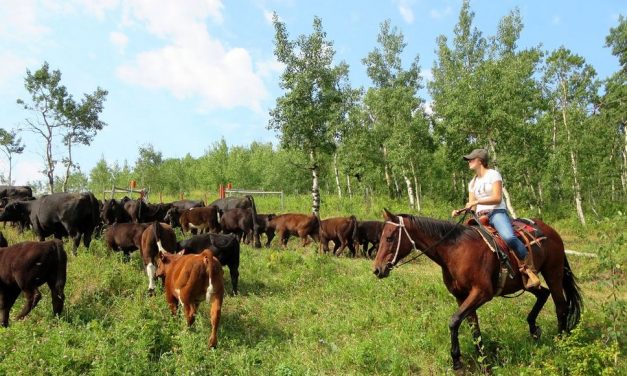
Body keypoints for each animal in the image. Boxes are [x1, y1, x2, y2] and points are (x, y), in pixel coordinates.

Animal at [372, 209, 584, 370]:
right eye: (380, 237)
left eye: (390, 238)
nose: (377, 269)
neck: (455, 251)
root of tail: (552, 231)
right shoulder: (461, 297)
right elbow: (472, 326)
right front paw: (483, 362)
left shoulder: (482, 293)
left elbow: (454, 321)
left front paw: (457, 362)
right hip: (524, 283)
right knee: (543, 294)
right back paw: (533, 329)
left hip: (553, 273)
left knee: (560, 305)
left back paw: (561, 341)